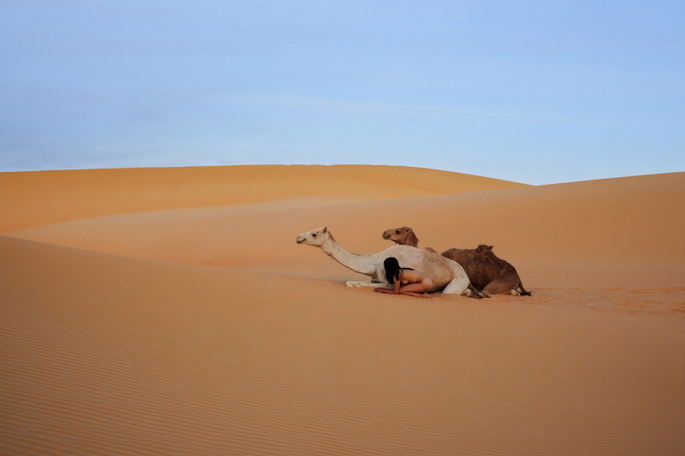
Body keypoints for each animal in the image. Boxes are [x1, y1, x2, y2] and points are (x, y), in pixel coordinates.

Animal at [296, 226, 480, 298]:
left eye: (314, 233)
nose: (298, 237)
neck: (375, 260)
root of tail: (464, 273)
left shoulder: (388, 280)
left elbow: (357, 284)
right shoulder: (374, 277)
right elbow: (351, 282)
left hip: (457, 281)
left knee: (449, 292)